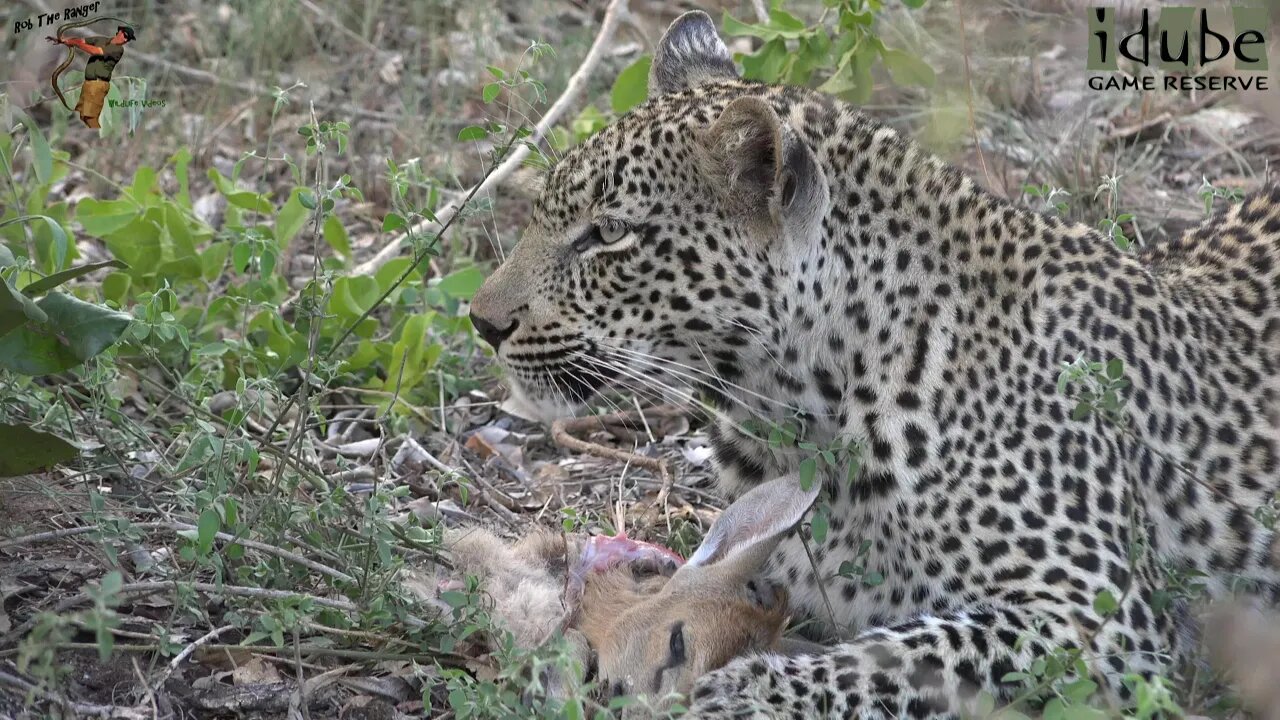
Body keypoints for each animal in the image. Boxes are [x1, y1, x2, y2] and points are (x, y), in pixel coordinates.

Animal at [468, 11, 1280, 717]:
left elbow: (904, 652)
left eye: (608, 235)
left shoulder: (1099, 612)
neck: (796, 403)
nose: (483, 322)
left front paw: (741, 691)